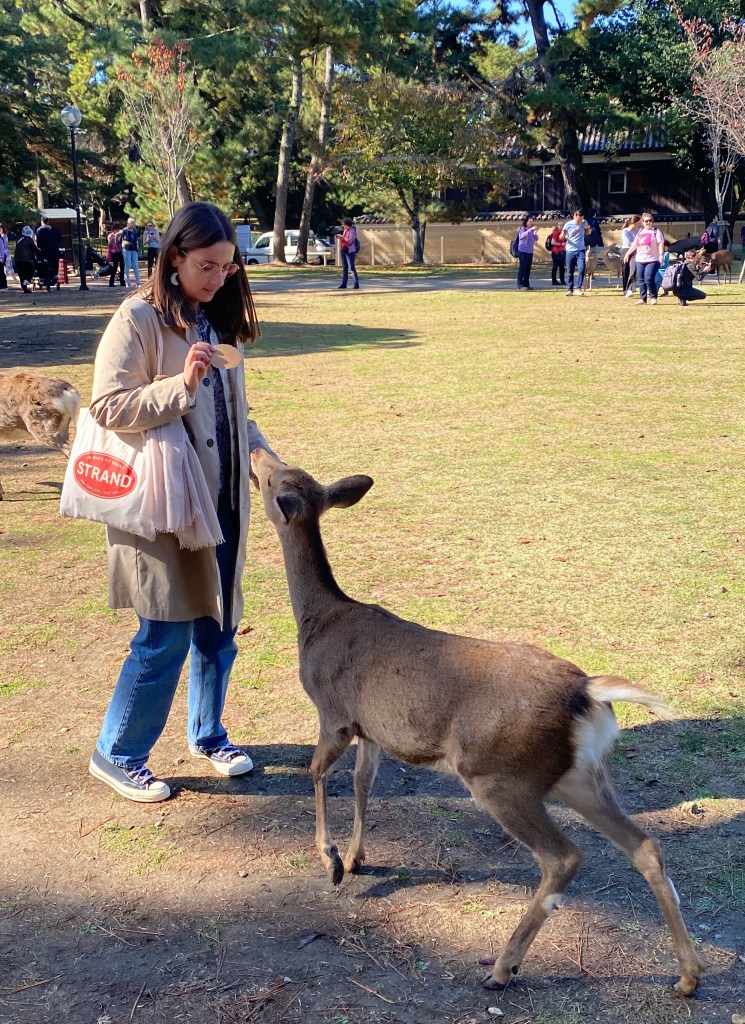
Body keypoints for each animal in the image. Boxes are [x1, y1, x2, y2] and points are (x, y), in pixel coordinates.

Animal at [250, 448, 704, 997]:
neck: (318, 622)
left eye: (273, 479)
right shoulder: (372, 729)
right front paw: (357, 858)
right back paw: (688, 976)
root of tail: (586, 692)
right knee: (646, 846)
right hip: (577, 774)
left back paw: (502, 968)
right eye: (282, 468)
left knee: (564, 857)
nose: (255, 452)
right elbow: (362, 783)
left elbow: (316, 772)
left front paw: (332, 860)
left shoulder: (334, 712)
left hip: (498, 775)